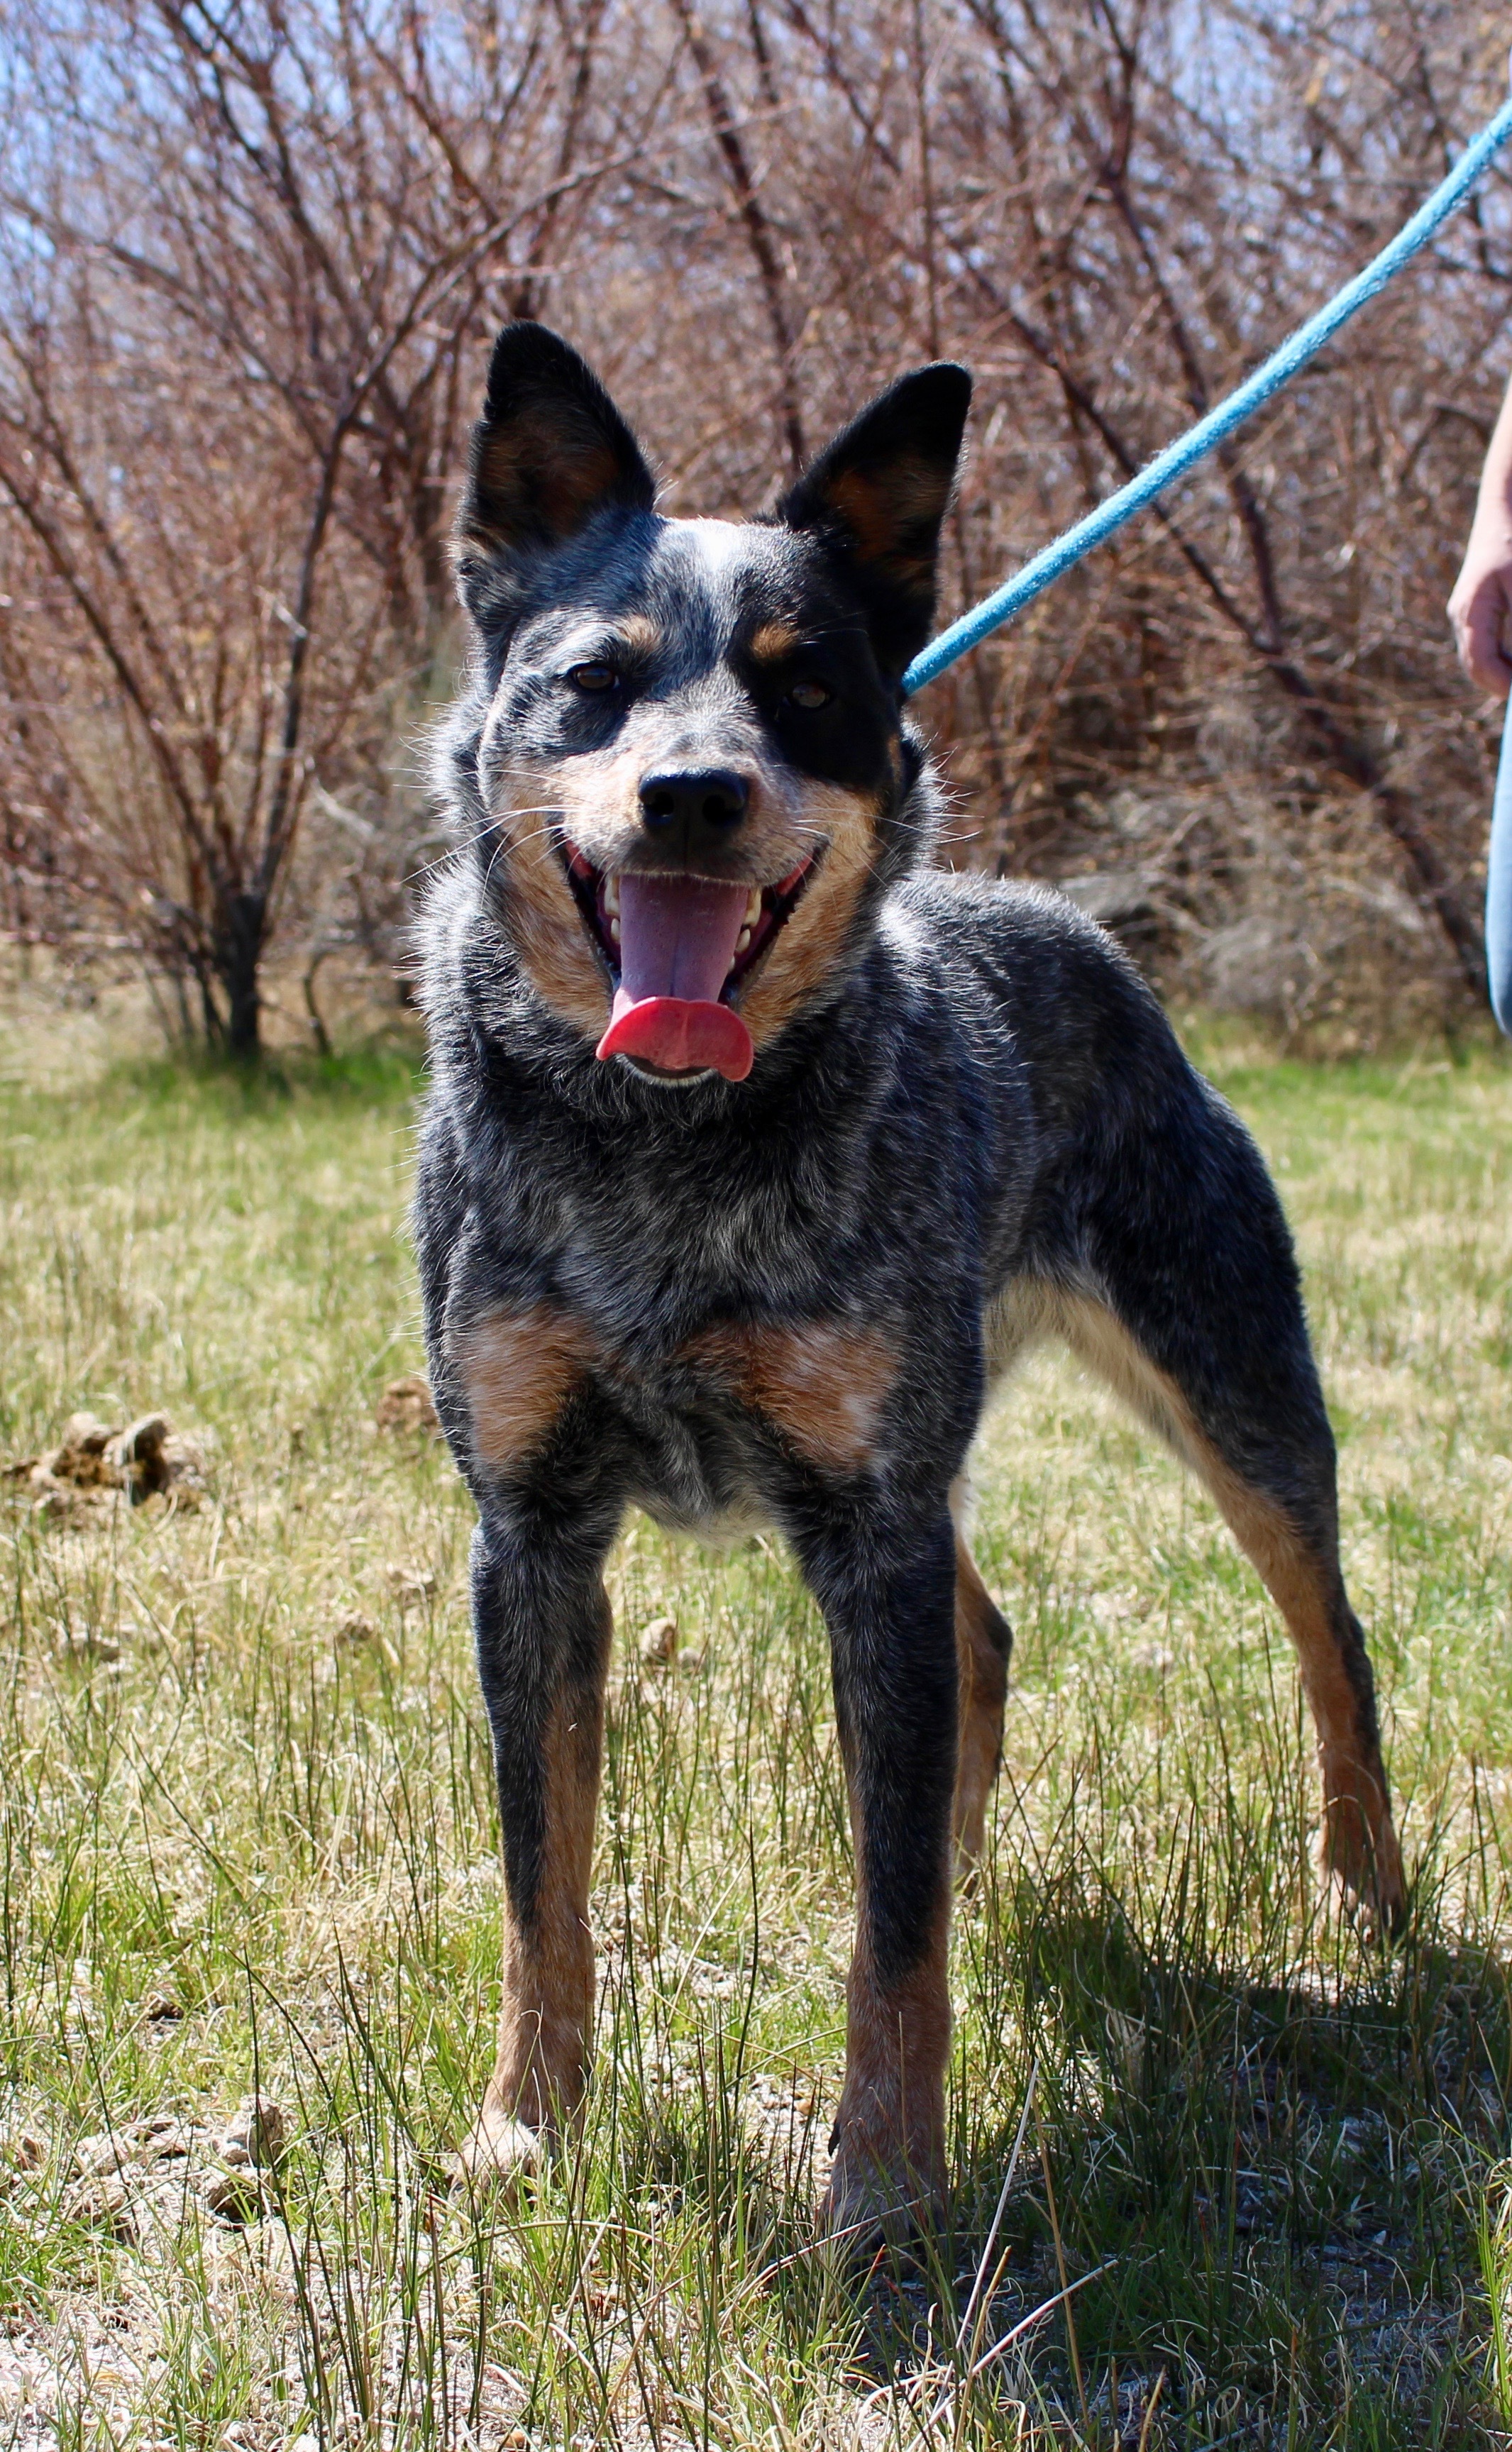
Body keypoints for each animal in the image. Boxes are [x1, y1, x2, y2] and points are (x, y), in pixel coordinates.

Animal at [412, 316, 1401, 2236]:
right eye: (594, 680)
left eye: (805, 690)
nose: (694, 792)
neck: (670, 1150)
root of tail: (1079, 924)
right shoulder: (531, 1535)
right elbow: (538, 1880)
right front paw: (526, 2126)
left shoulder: (865, 1522)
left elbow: (888, 1938)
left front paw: (884, 2182)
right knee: (982, 1644)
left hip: (1232, 1389)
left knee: (1330, 1636)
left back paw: (1367, 1890)